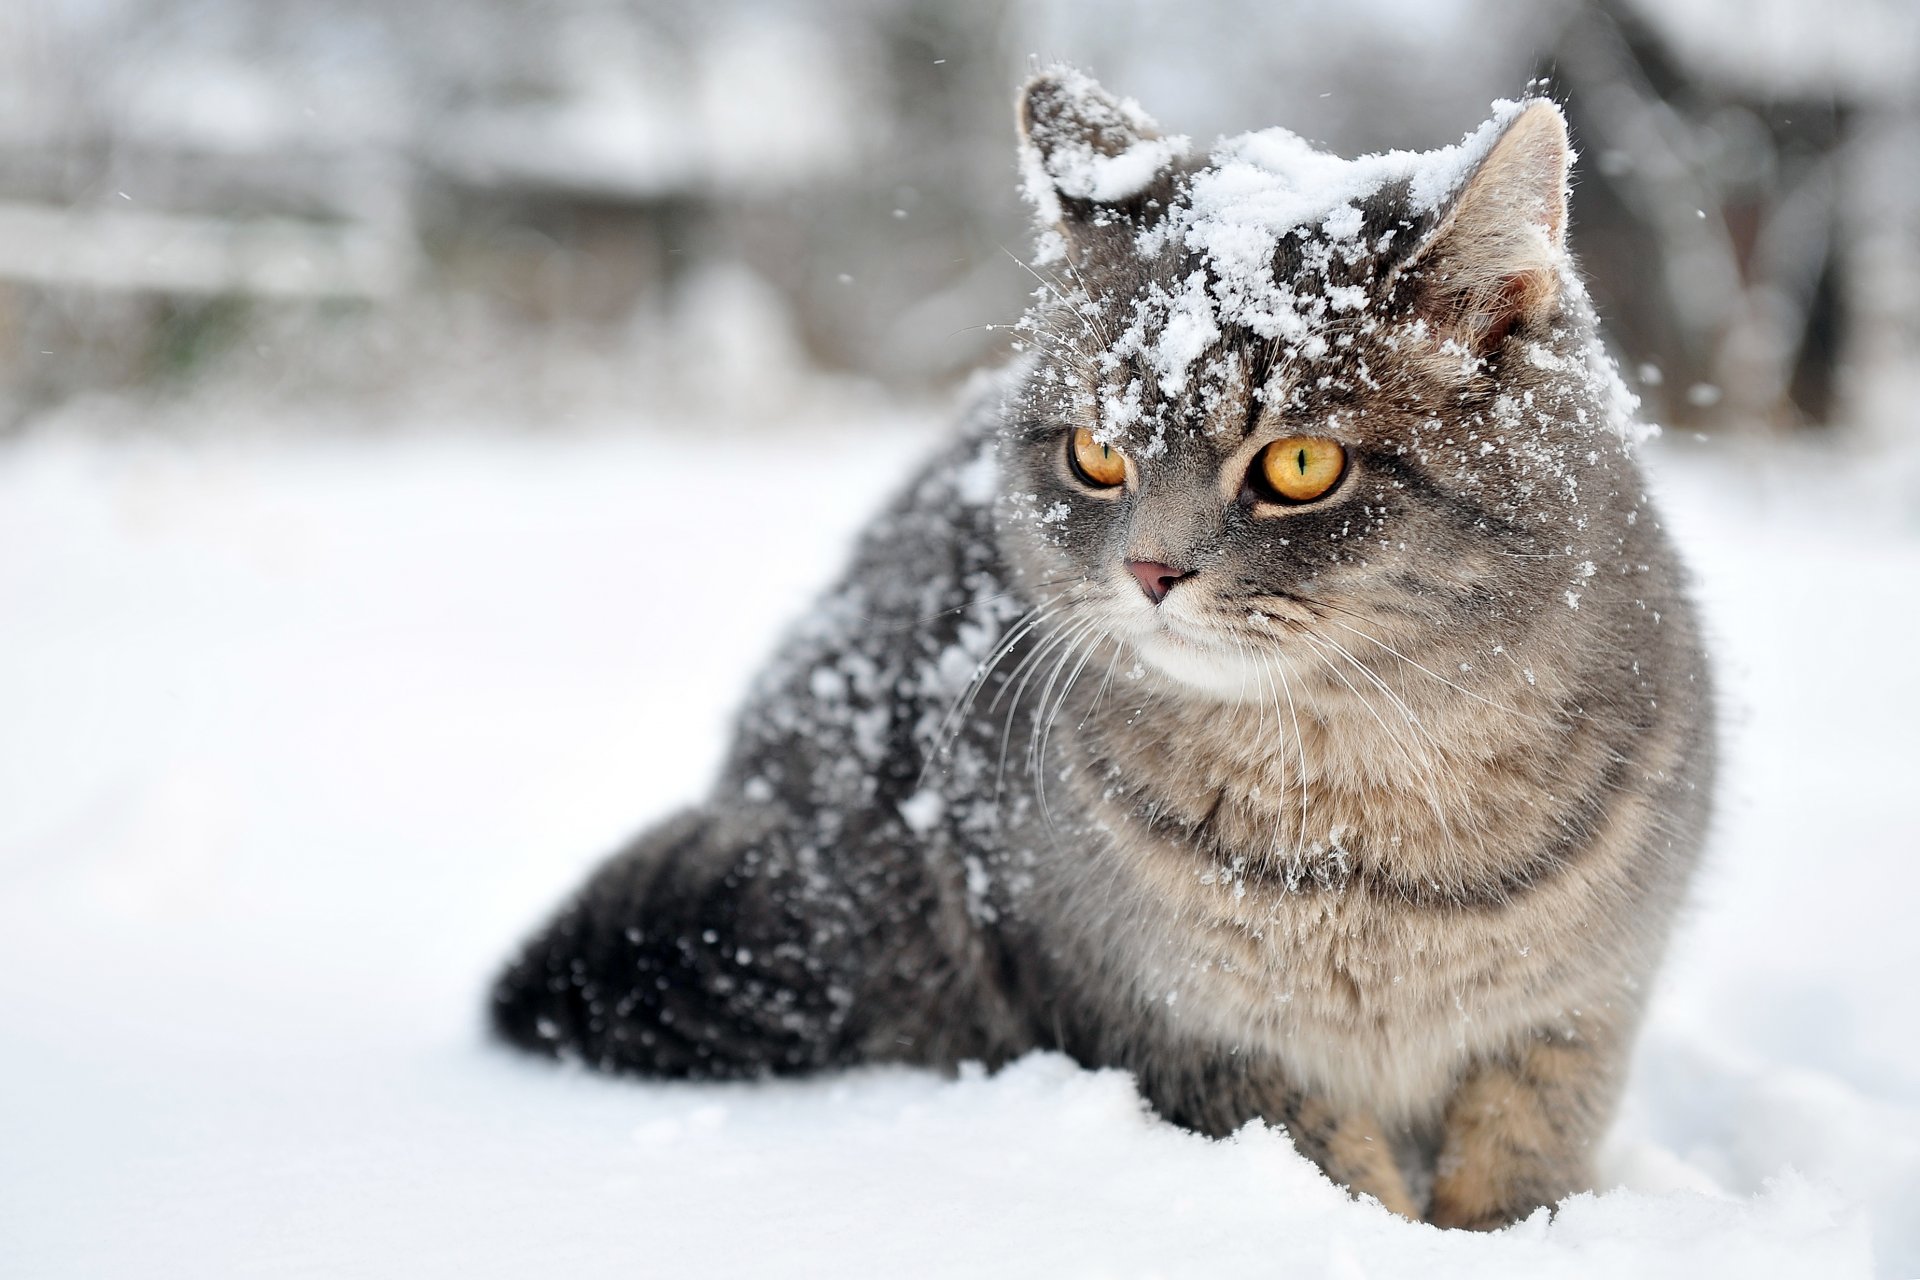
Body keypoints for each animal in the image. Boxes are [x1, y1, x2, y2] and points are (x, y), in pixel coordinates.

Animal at [491, 70, 1712, 1228]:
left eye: (1301, 464)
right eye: (1095, 453)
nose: (1151, 571)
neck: (1359, 827)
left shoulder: (1573, 1019)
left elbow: (1519, 1169)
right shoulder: (1177, 1027)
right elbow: (1336, 1170)